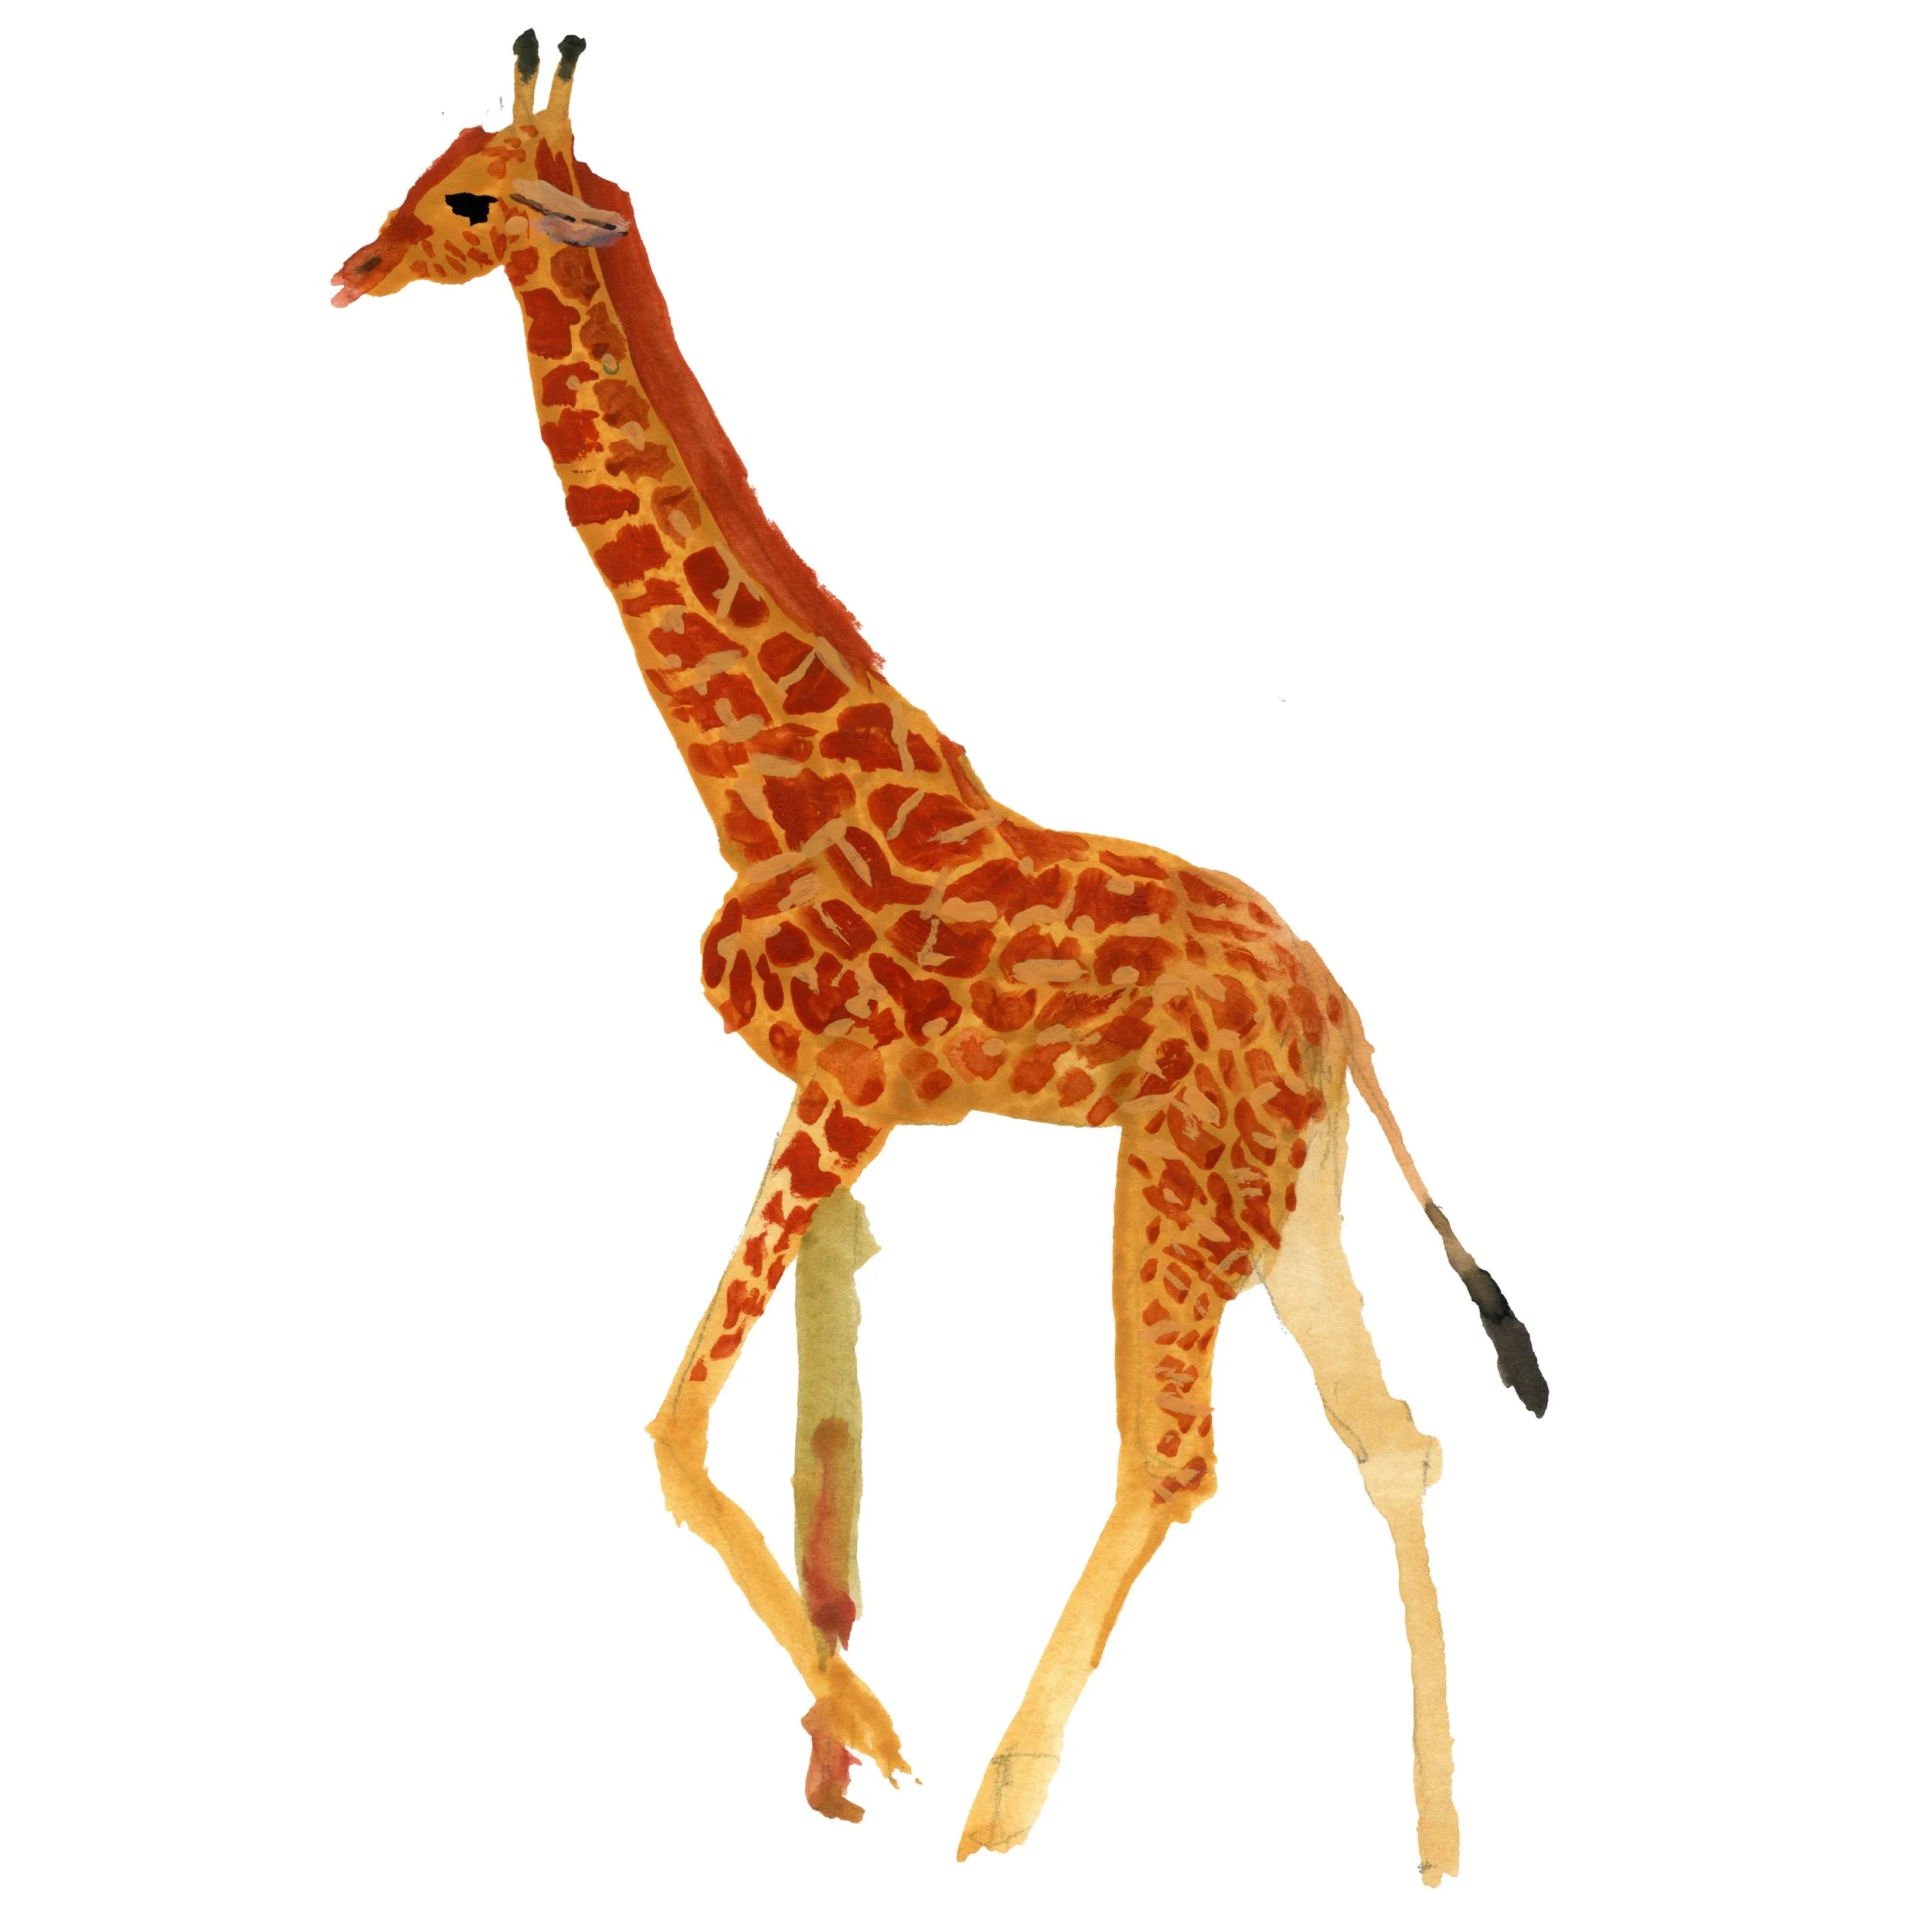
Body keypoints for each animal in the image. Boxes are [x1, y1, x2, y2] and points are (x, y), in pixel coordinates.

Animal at [331, 31, 1547, 1882]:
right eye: (424, 171)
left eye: (470, 201)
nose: (352, 266)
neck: (761, 779)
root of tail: (1337, 1005)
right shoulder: (853, 1117)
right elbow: (817, 1433)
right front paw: (825, 1766)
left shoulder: (843, 1083)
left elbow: (680, 1432)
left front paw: (881, 1747)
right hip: (1289, 1191)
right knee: (1392, 1441)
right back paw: (1432, 1843)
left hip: (1177, 1181)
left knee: (1174, 1460)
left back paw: (995, 1806)